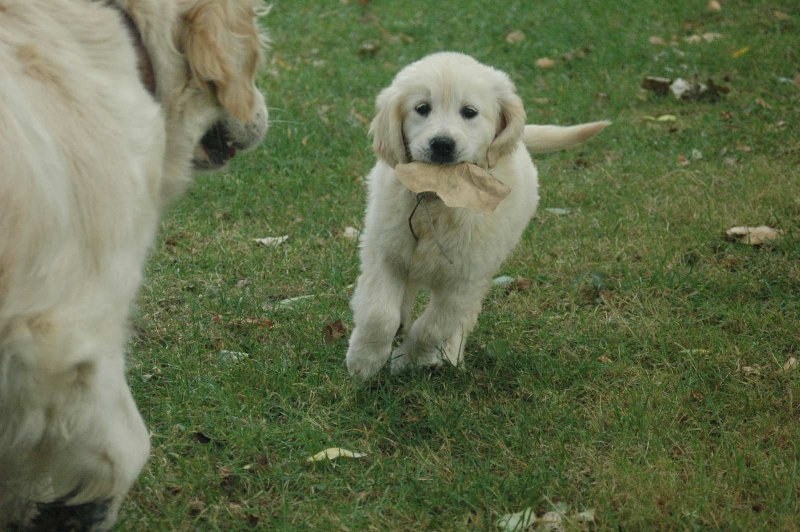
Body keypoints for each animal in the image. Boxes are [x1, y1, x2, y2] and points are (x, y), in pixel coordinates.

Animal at [344, 52, 608, 380]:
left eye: (469, 112)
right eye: (422, 108)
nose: (442, 144)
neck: (439, 195)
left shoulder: (466, 278)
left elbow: (432, 327)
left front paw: (407, 360)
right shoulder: (385, 253)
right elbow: (378, 314)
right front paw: (364, 361)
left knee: (462, 319)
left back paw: (450, 354)